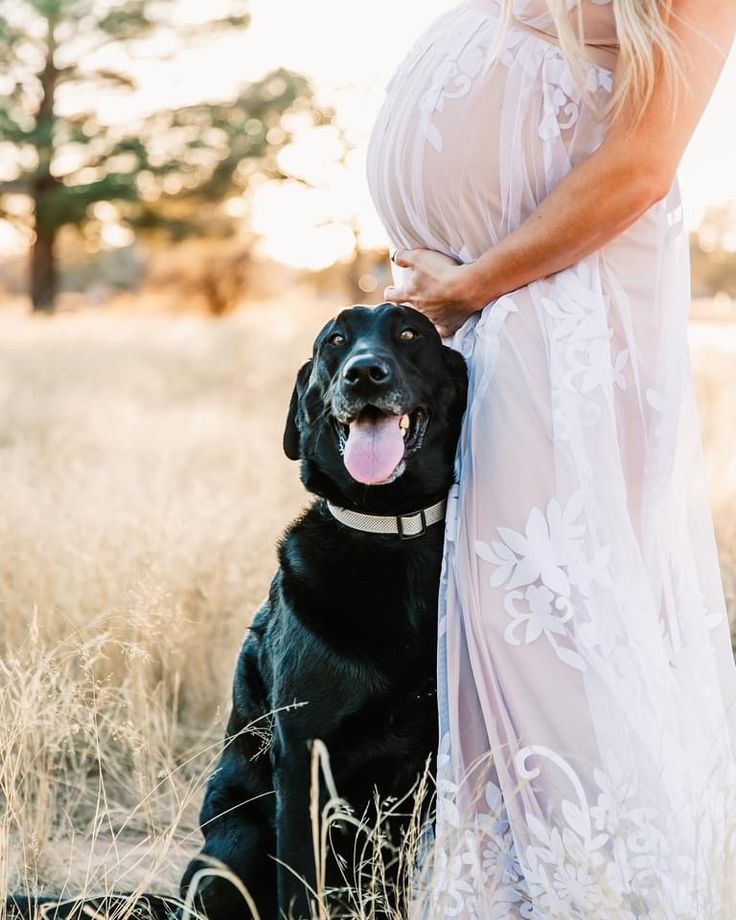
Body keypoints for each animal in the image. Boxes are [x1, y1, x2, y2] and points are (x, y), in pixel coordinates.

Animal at [180, 306, 466, 916]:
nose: (364, 374)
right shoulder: (303, 761)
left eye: (410, 334)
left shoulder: (425, 771)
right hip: (231, 849)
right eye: (335, 342)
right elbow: (299, 890)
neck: (389, 530)